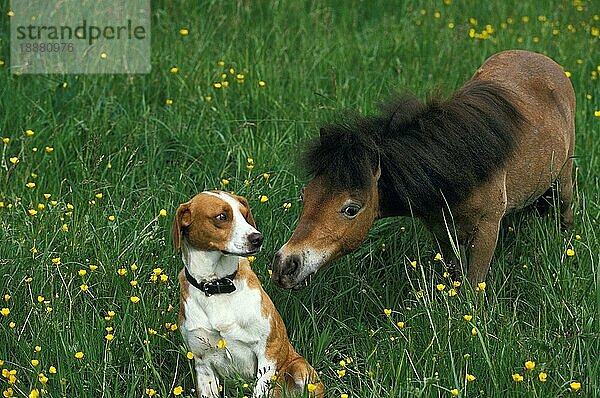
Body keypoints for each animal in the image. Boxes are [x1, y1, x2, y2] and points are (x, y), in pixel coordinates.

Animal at [172, 191, 324, 396]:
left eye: (245, 215)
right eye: (222, 216)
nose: (258, 238)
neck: (217, 285)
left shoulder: (267, 353)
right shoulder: (203, 363)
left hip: (301, 369)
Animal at [270, 51, 576, 290]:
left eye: (351, 209)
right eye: (305, 195)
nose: (285, 265)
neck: (456, 165)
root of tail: (545, 61)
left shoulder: (487, 229)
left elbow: (473, 284)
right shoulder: (441, 231)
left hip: (564, 178)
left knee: (565, 208)